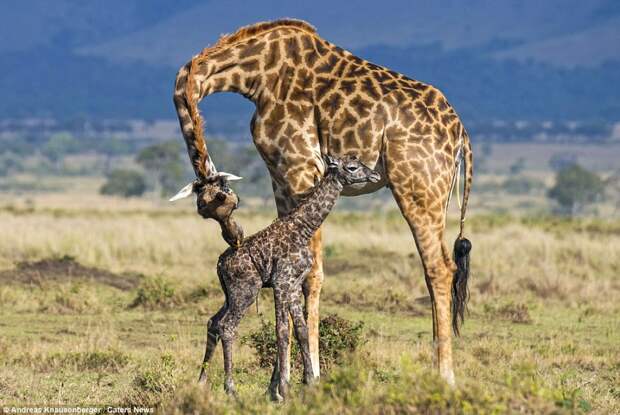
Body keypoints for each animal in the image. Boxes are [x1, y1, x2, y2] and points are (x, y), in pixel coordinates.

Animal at [201, 155, 380, 400]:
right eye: (352, 167)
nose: (376, 175)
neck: (304, 229)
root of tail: (220, 263)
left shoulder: (294, 285)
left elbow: (301, 331)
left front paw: (309, 383)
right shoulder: (281, 282)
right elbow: (283, 331)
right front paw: (283, 391)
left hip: (230, 294)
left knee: (213, 322)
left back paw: (200, 382)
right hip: (246, 289)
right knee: (227, 326)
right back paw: (231, 390)